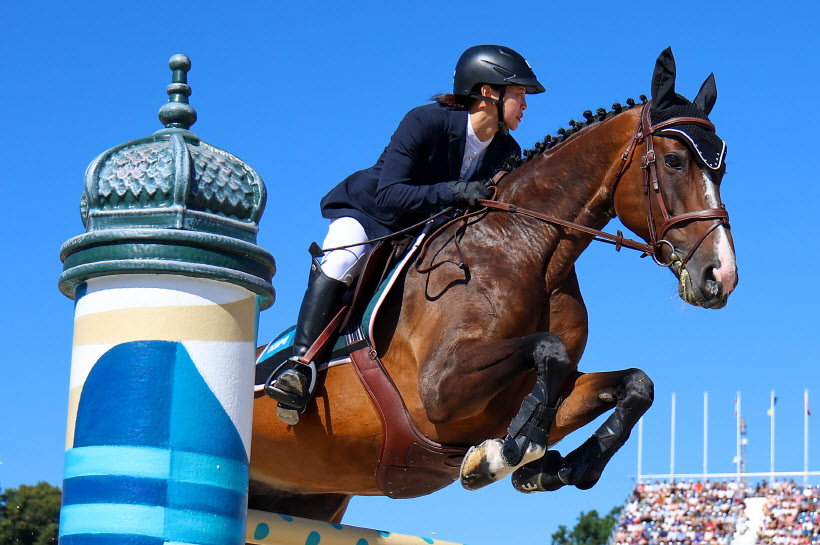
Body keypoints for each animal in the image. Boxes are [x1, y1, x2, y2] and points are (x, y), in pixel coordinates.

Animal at [247, 49, 740, 524]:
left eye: (722, 171)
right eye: (674, 161)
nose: (722, 277)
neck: (532, 250)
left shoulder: (525, 399)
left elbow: (636, 384)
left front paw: (554, 468)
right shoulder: (438, 389)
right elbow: (548, 351)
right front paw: (502, 457)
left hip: (310, 499)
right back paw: (290, 379)